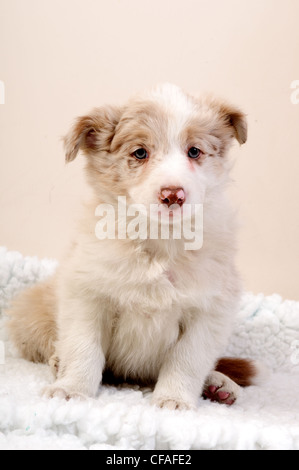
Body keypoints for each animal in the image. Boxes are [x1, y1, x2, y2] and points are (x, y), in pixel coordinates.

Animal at [7, 86, 260, 410]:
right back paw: (57, 362)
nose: (173, 195)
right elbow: (83, 348)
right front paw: (71, 389)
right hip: (32, 314)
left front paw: (174, 399)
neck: (159, 238)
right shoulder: (86, 294)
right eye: (140, 153)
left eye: (194, 151)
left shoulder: (209, 309)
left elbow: (187, 361)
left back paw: (218, 384)